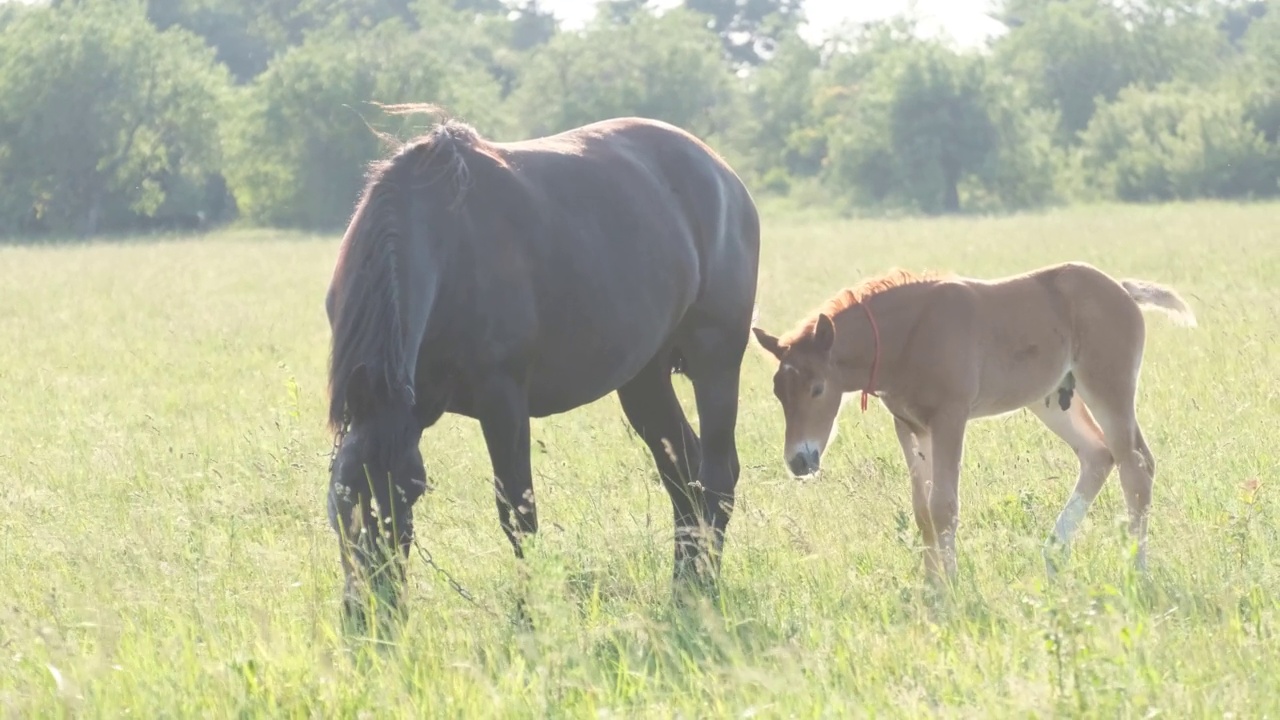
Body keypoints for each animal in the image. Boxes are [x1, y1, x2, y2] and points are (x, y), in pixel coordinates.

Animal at [325, 110, 757, 622]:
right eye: (340, 501)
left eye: (409, 493)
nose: (370, 614)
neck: (445, 243)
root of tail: (723, 174)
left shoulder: (503, 399)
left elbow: (517, 514)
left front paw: (530, 618)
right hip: (644, 379)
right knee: (682, 475)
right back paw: (686, 589)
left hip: (716, 360)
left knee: (717, 477)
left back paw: (704, 586)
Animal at [752, 260, 1192, 579]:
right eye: (777, 391)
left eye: (817, 388)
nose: (799, 460)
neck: (907, 335)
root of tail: (1122, 289)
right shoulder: (910, 425)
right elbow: (923, 511)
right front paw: (930, 586)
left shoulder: (950, 417)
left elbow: (944, 506)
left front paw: (951, 587)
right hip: (1053, 401)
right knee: (1100, 455)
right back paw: (1053, 554)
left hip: (1107, 387)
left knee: (1135, 466)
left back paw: (1136, 568)